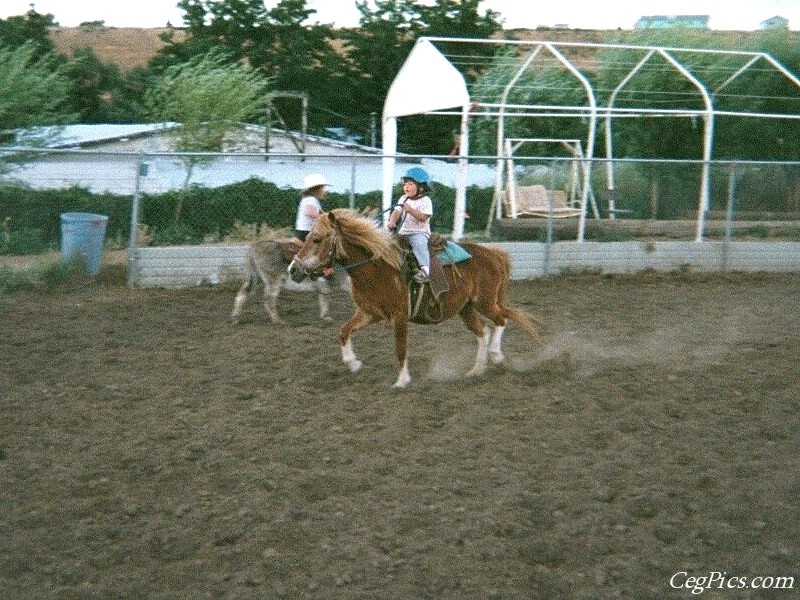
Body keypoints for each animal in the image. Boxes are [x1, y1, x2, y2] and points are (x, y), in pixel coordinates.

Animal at [290, 209, 544, 386]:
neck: (378, 269)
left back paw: (496, 356)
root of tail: (493, 254)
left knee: (501, 320)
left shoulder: (400, 317)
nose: (293, 269)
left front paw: (402, 381)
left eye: (317, 239)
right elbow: (344, 332)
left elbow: (400, 349)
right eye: (309, 236)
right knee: (483, 331)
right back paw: (477, 369)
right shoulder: (369, 313)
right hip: (466, 308)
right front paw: (353, 364)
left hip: (485, 302)